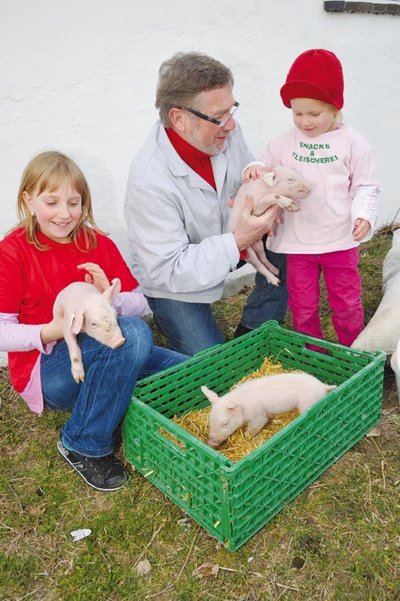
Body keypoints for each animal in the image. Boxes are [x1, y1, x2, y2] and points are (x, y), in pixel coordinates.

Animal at [201, 373, 336, 447]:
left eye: (225, 423)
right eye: (210, 419)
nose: (210, 443)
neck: (243, 407)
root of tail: (323, 386)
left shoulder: (258, 417)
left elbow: (255, 427)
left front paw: (247, 437)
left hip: (307, 404)